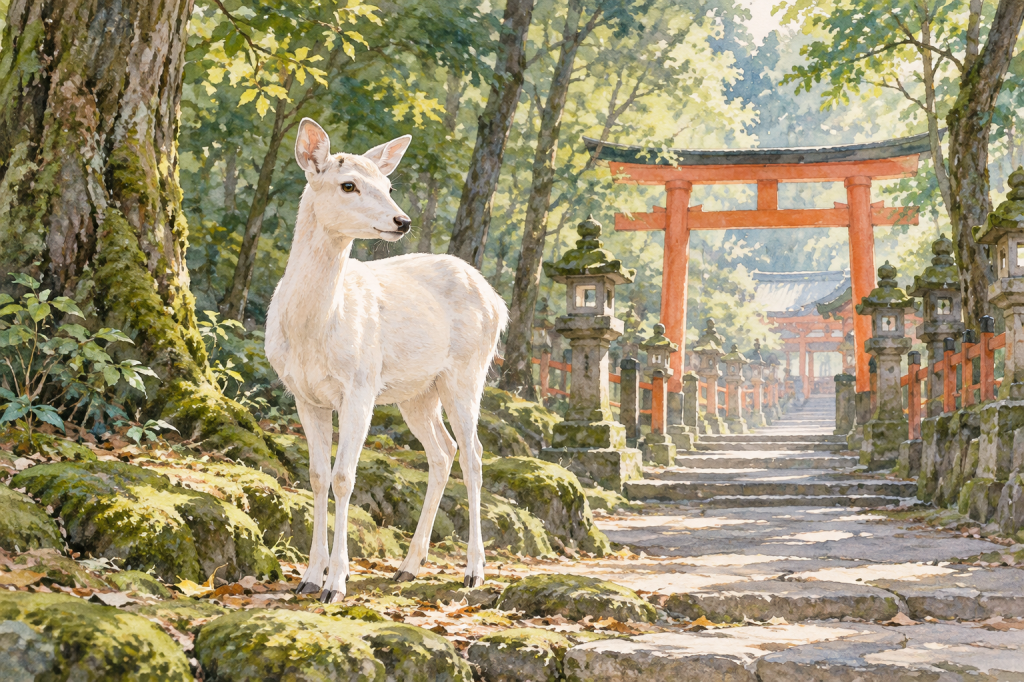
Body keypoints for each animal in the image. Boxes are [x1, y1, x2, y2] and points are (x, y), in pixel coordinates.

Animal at [265, 118, 508, 603]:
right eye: (349, 184)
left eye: (389, 184)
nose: (402, 220)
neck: (311, 331)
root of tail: (498, 302)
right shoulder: (304, 394)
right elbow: (317, 475)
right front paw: (308, 577)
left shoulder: (359, 386)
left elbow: (344, 477)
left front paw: (335, 584)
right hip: (417, 394)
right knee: (443, 451)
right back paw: (408, 567)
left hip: (467, 373)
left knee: (473, 454)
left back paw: (474, 571)